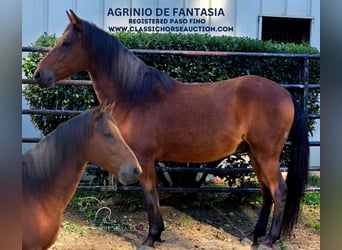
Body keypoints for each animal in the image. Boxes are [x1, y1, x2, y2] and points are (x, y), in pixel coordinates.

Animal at [34, 10, 310, 248]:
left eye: (66, 43)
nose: (38, 75)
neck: (136, 96)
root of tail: (285, 93)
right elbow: (154, 195)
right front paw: (157, 234)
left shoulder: (143, 159)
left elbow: (149, 196)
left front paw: (150, 237)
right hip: (254, 153)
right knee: (266, 192)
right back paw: (253, 236)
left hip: (266, 154)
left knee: (279, 191)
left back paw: (268, 240)